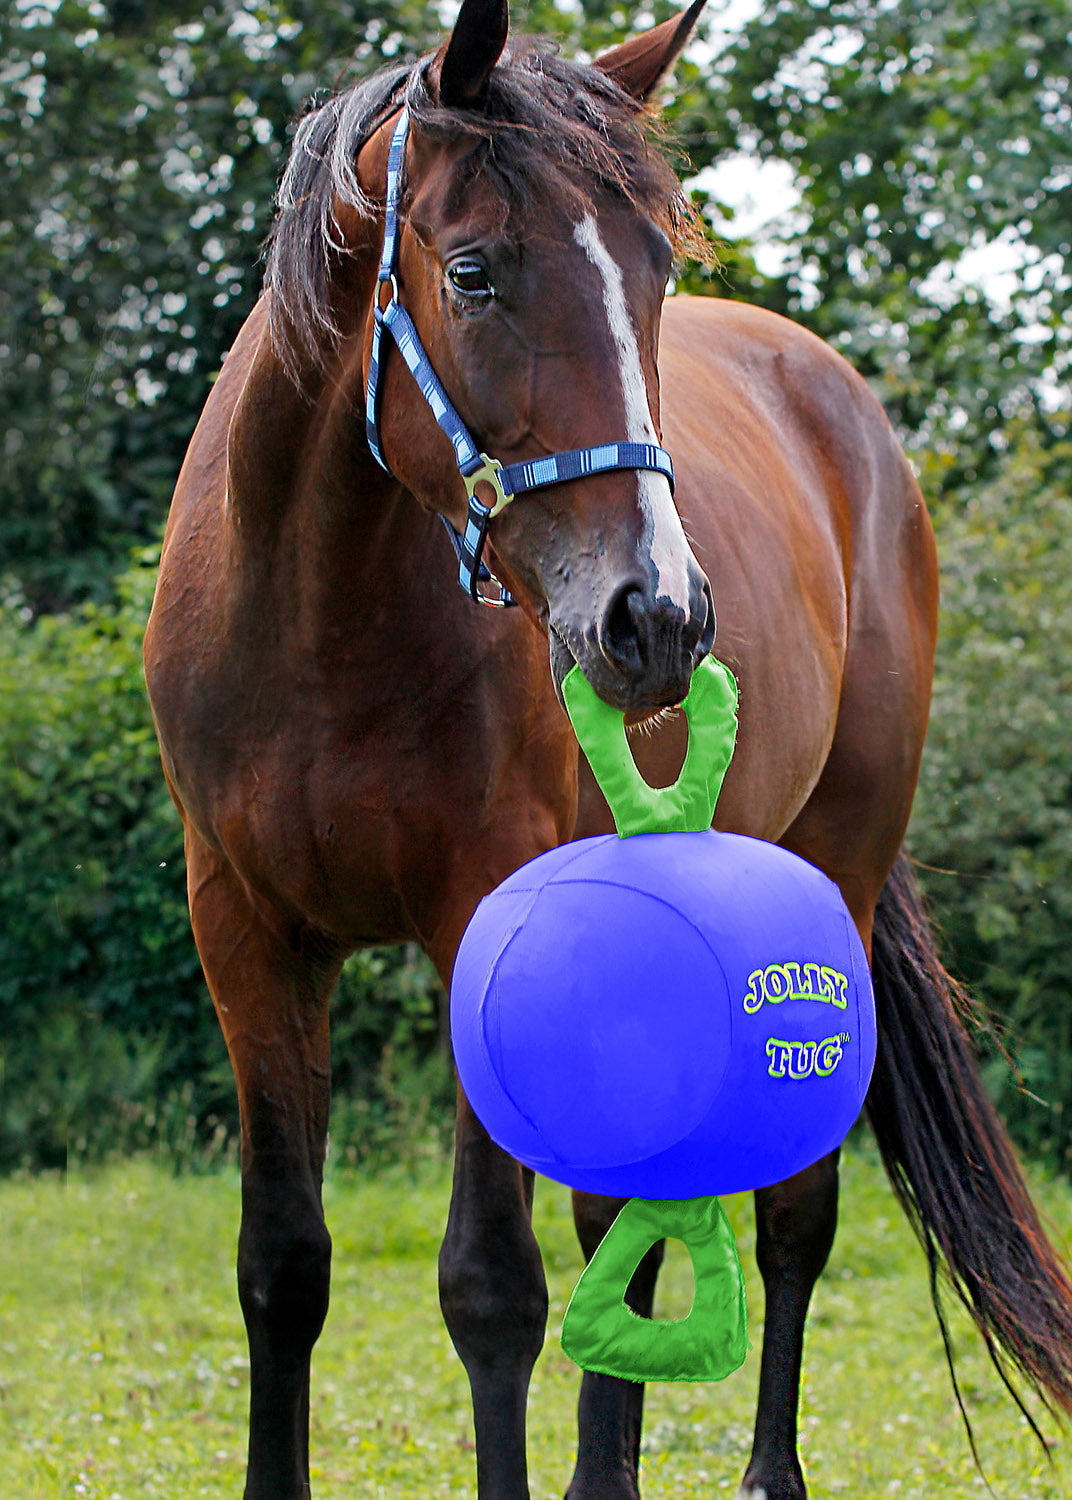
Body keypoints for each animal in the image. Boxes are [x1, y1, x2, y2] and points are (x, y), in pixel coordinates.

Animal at [142, 5, 1072, 1494]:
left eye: (653, 277)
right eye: (472, 272)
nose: (660, 620)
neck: (315, 612)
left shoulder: (478, 921)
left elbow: (490, 1287)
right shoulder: (245, 935)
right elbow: (283, 1266)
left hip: (834, 872)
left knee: (792, 1211)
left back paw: (764, 1474)